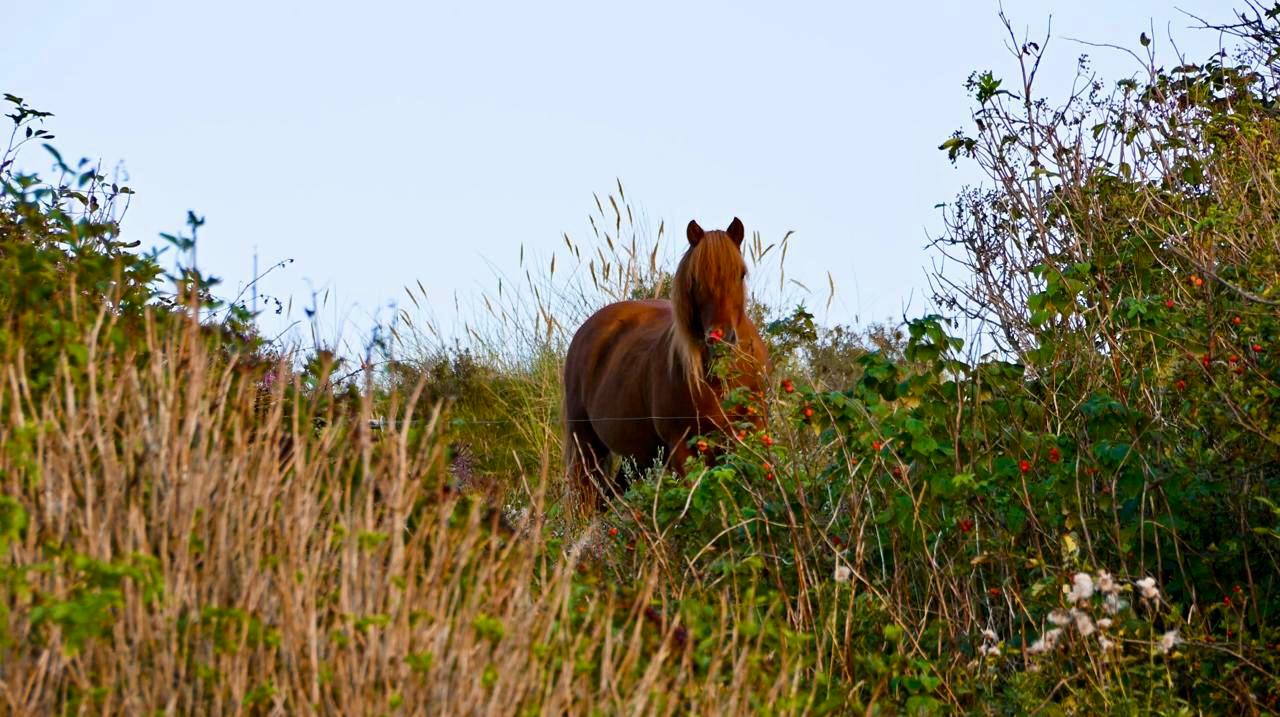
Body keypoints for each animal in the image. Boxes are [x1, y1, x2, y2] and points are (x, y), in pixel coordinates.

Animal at [563, 217, 762, 509]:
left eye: (741, 274)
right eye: (695, 279)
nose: (720, 338)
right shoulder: (681, 447)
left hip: (639, 457)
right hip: (587, 446)